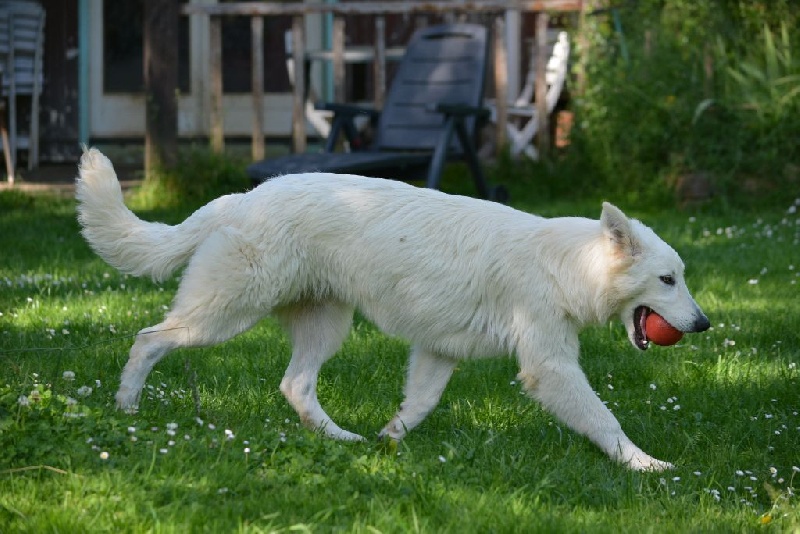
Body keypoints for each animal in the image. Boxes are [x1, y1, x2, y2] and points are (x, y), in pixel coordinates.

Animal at [78, 149, 708, 472]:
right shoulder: (549, 368)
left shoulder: (438, 351)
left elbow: (418, 405)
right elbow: (604, 420)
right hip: (225, 314)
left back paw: (344, 442)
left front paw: (389, 443)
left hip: (325, 325)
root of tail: (243, 197)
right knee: (149, 338)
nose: (703, 324)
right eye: (668, 280)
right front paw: (645, 466)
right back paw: (127, 407)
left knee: (294, 386)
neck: (567, 265)